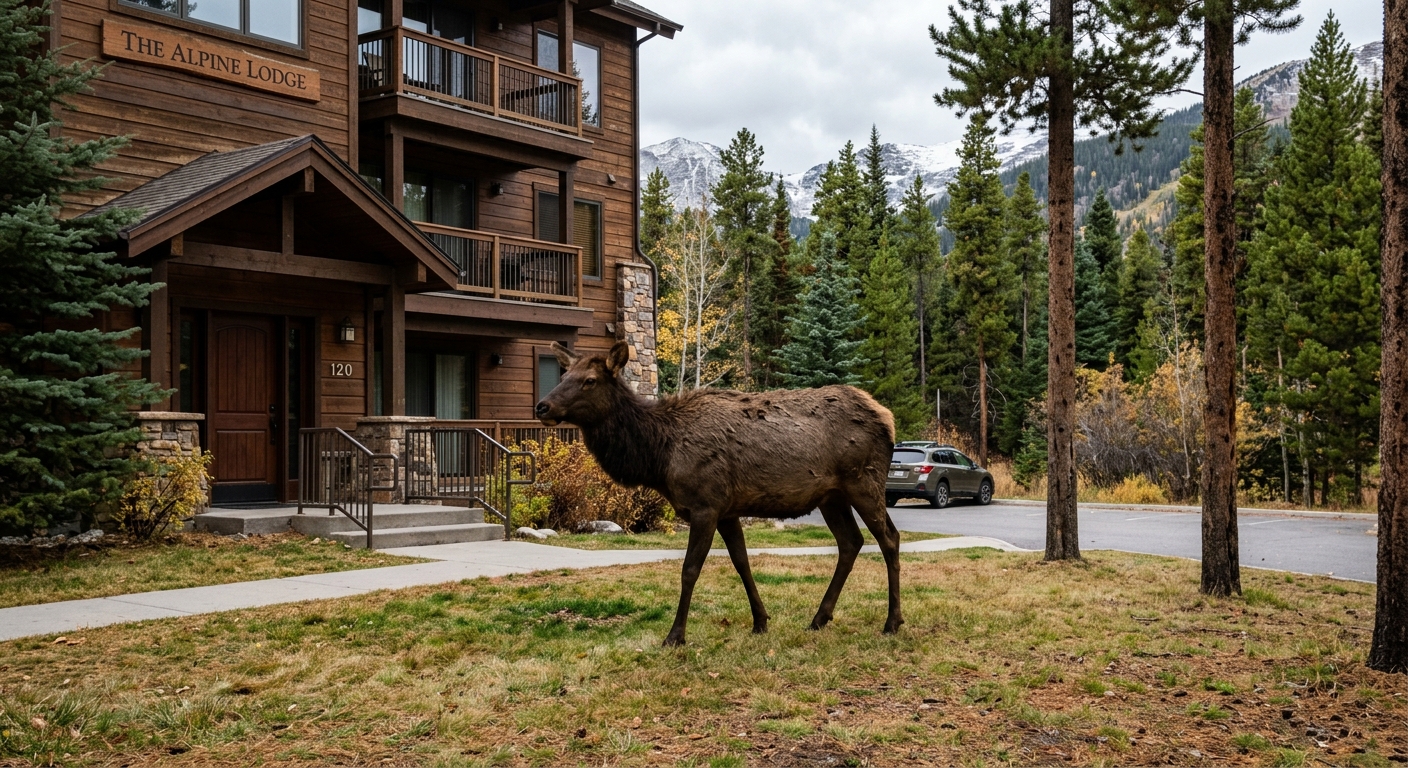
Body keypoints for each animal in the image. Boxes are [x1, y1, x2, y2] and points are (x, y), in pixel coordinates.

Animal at [535, 340, 903, 646]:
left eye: (589, 380)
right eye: (565, 374)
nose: (542, 406)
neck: (658, 455)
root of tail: (888, 419)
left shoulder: (705, 505)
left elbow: (689, 570)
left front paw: (675, 636)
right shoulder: (727, 510)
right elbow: (742, 563)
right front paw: (760, 622)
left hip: (864, 481)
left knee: (889, 538)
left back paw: (892, 622)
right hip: (832, 496)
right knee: (851, 542)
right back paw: (819, 618)